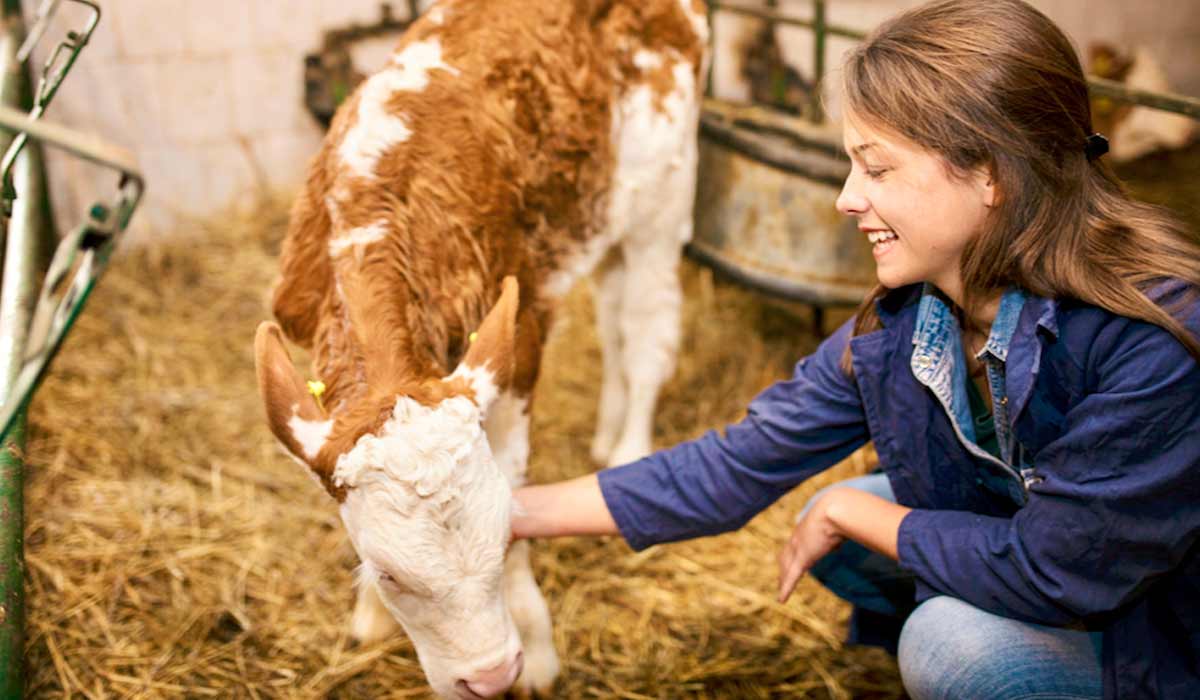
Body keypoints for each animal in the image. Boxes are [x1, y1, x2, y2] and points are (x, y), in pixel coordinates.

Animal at [250, 2, 700, 696]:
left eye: (505, 531)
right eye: (389, 572)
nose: (489, 678)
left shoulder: (519, 344)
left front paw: (536, 654)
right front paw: (369, 616)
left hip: (662, 195)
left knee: (645, 331)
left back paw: (630, 447)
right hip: (597, 214)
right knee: (611, 317)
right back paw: (605, 436)